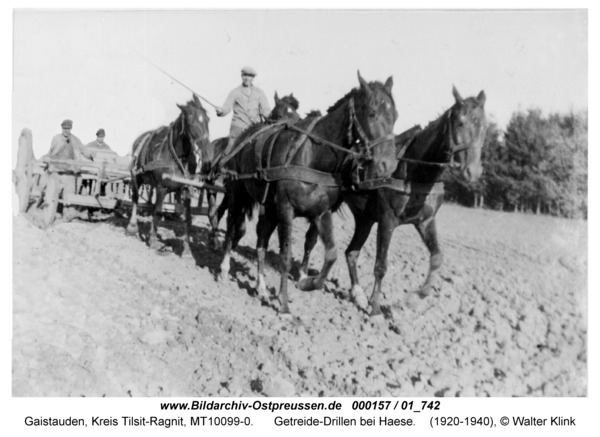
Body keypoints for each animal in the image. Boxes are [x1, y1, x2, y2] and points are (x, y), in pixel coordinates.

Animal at [126, 93, 211, 254]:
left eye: (207, 119)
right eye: (190, 121)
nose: (206, 153)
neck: (177, 156)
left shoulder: (186, 189)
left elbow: (187, 216)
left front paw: (186, 249)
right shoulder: (161, 187)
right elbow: (158, 212)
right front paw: (153, 241)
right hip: (137, 178)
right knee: (135, 198)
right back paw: (132, 226)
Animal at [200, 91, 300, 249]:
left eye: (298, 117)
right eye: (280, 116)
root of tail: (213, 143)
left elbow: (243, 227)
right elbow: (240, 225)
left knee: (219, 211)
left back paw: (214, 237)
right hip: (211, 182)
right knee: (212, 210)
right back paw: (214, 239)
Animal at [219, 72, 398, 316]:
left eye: (395, 116)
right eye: (372, 113)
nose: (388, 165)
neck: (312, 156)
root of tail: (243, 138)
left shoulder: (321, 212)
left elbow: (330, 253)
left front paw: (307, 282)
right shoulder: (286, 210)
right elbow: (285, 256)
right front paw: (284, 305)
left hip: (270, 209)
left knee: (261, 243)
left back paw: (262, 288)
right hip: (237, 195)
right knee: (231, 227)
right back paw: (223, 267)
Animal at [300, 86, 488, 316]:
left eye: (484, 126)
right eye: (460, 122)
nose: (472, 171)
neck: (416, 171)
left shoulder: (425, 221)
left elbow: (437, 258)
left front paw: (417, 297)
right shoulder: (387, 221)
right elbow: (381, 265)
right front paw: (375, 307)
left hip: (364, 219)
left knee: (351, 252)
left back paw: (358, 294)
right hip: (327, 206)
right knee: (311, 239)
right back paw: (302, 275)